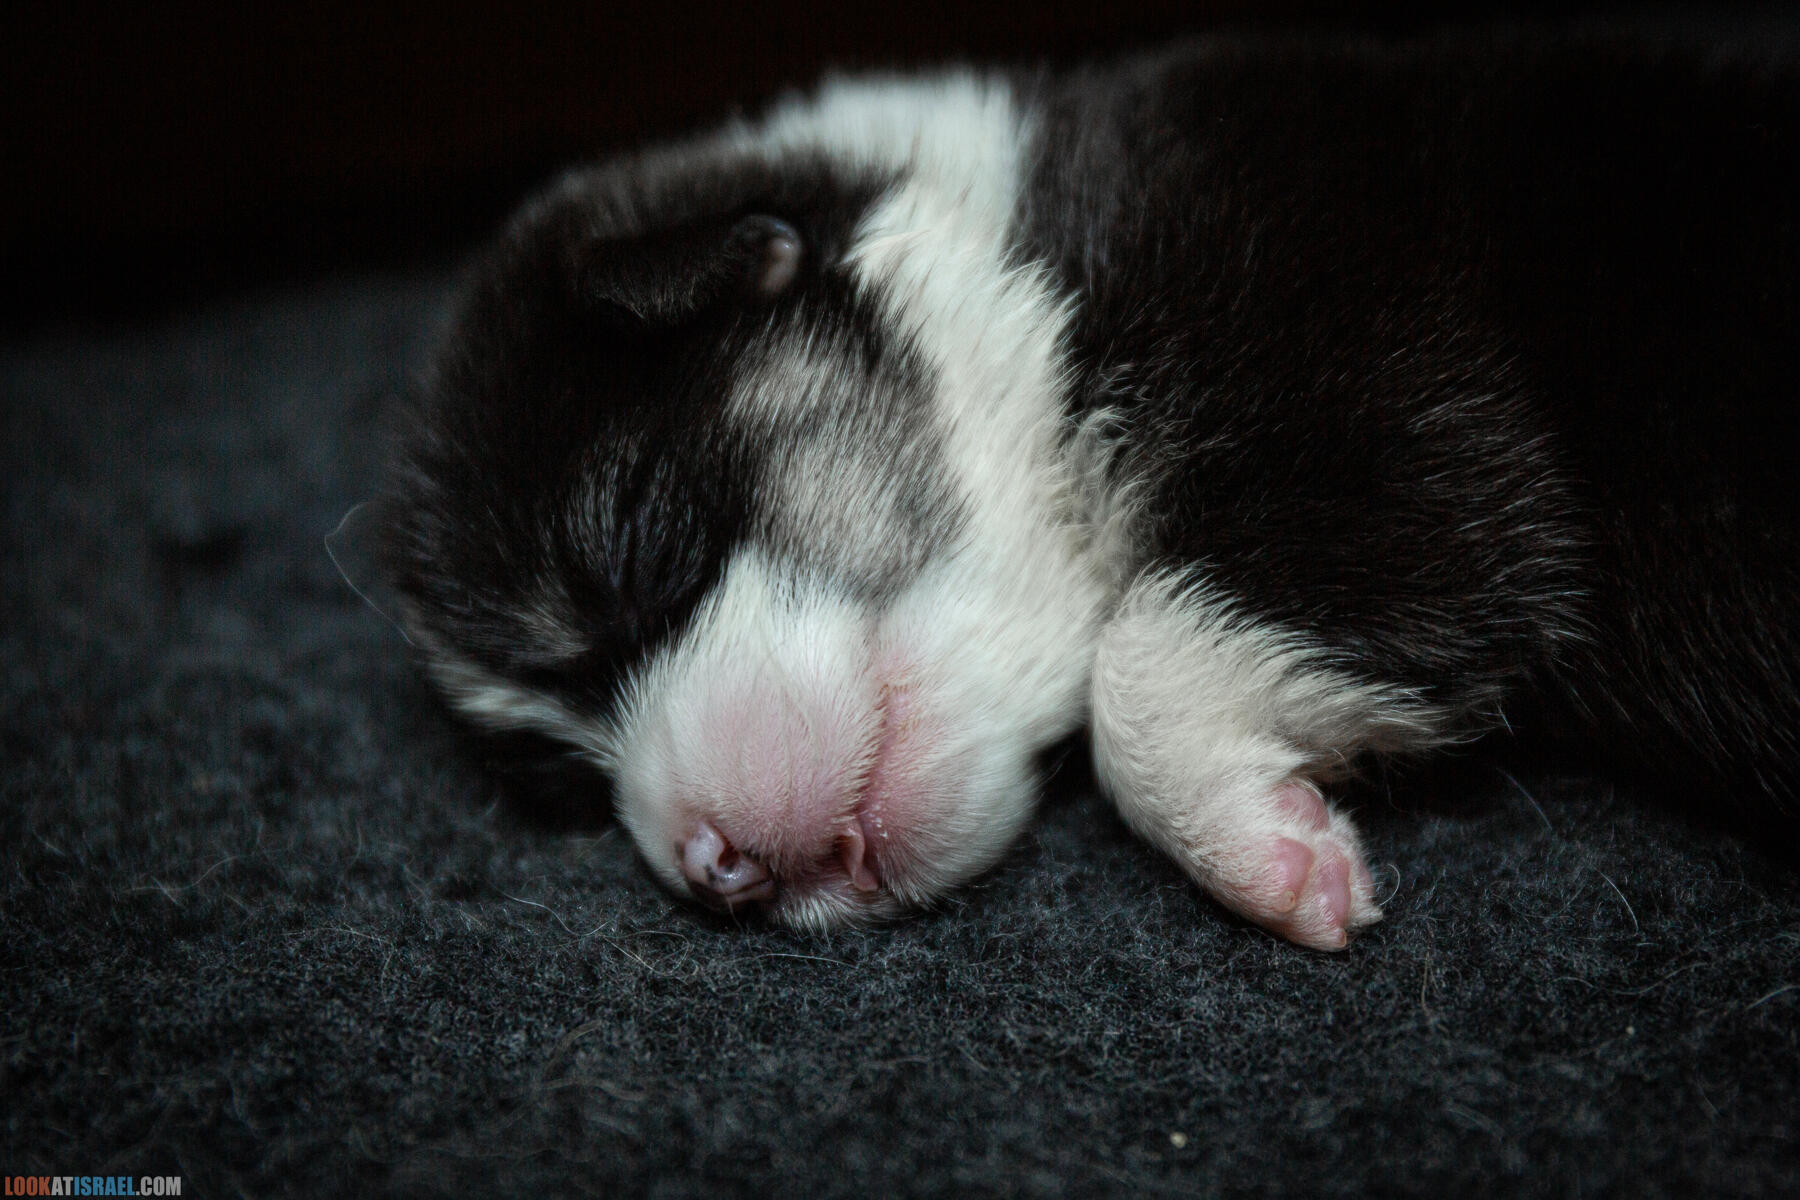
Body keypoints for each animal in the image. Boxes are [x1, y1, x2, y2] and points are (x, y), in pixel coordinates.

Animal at [377, 33, 1799, 950]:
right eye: (559, 778)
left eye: (631, 540)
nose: (710, 869)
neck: (1036, 271)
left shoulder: (1392, 405)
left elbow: (1146, 667)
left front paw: (1268, 851)